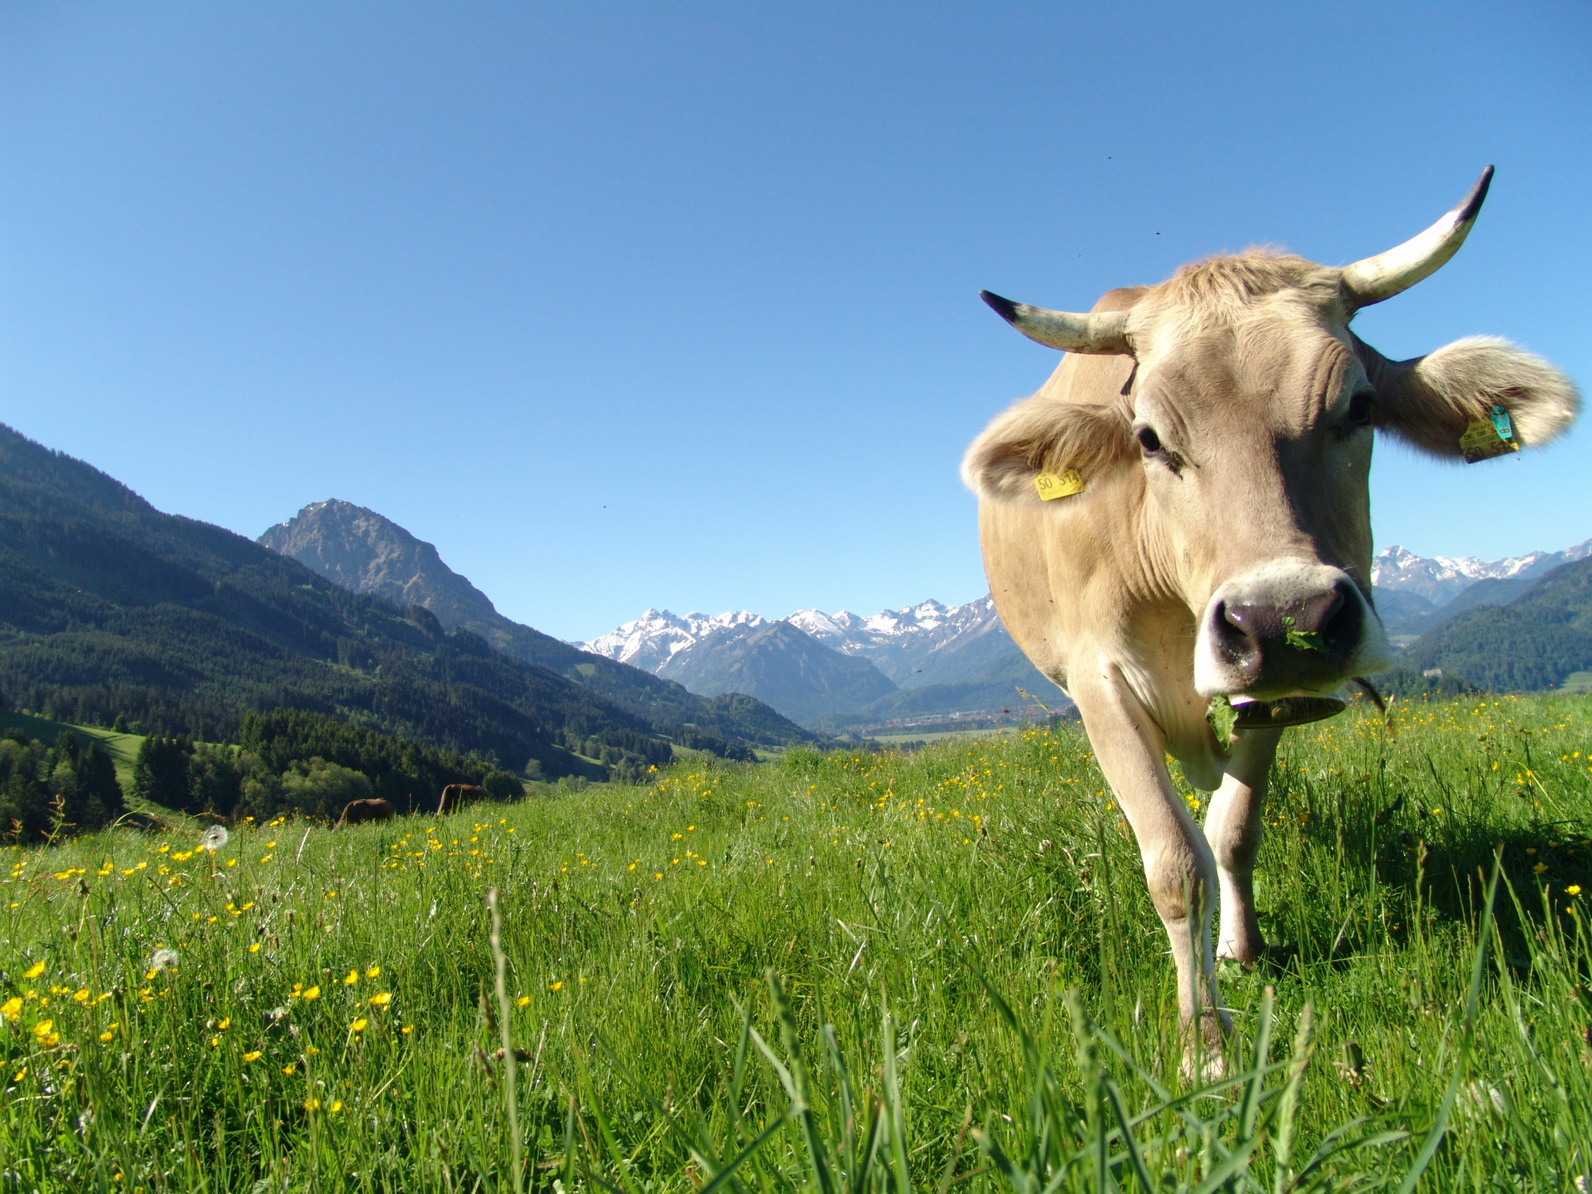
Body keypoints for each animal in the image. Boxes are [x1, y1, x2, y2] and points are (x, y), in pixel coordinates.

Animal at [955, 163, 1579, 1063]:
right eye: (1149, 438)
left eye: (1359, 407)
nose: (1285, 618)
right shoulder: (1097, 678)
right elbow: (1174, 861)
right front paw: (1203, 1043)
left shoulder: (1272, 688)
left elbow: (1233, 831)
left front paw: (1240, 951)